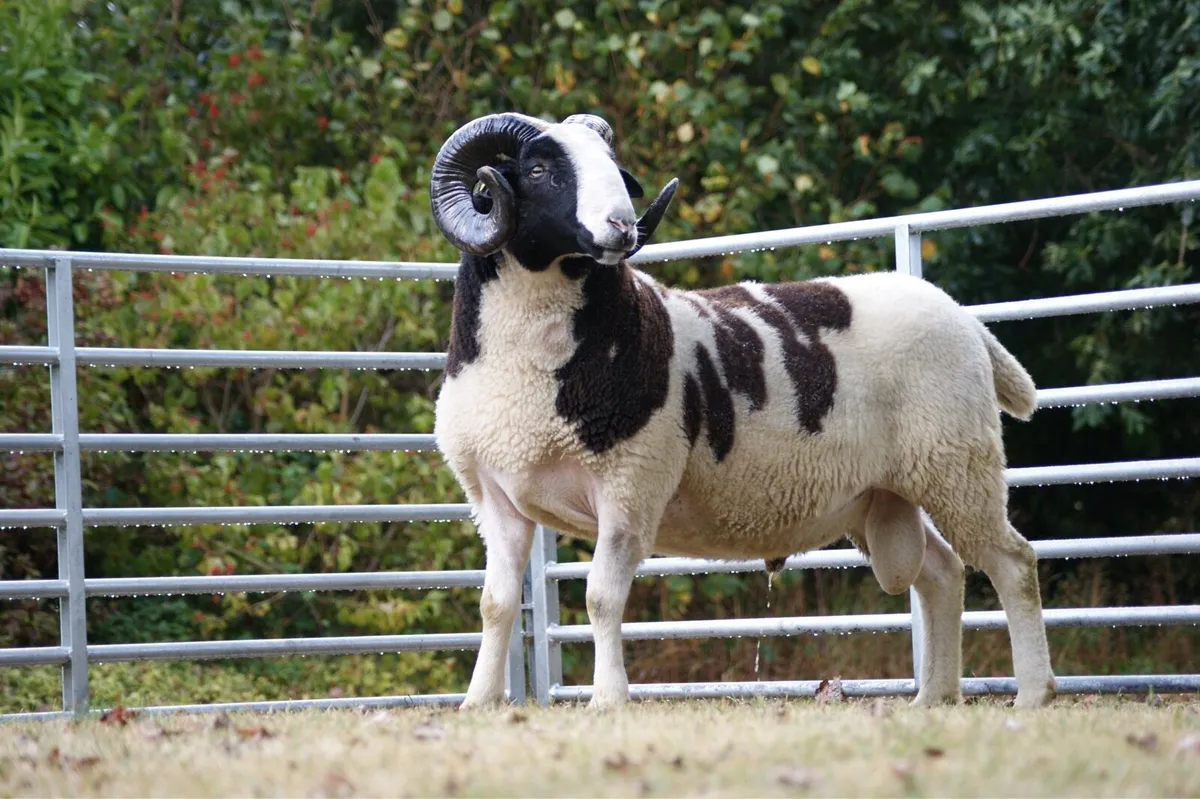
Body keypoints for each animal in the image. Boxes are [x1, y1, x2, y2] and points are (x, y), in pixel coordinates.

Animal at [428, 111, 1056, 711]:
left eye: (613, 166)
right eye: (538, 170)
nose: (622, 227)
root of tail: (965, 319)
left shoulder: (630, 485)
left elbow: (602, 598)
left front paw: (608, 700)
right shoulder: (495, 499)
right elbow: (496, 603)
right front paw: (478, 703)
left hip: (957, 463)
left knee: (1013, 563)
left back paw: (1033, 693)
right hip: (887, 491)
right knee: (944, 574)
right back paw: (934, 697)